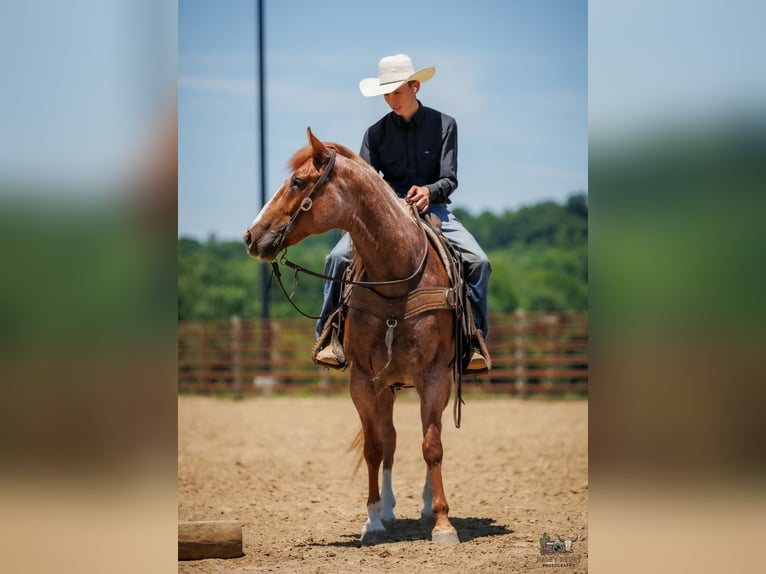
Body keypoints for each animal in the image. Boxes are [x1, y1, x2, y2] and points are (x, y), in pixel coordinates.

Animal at [243, 128, 460, 545]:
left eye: (298, 182)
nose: (251, 235)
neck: (398, 273)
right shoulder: (363, 379)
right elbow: (374, 448)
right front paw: (372, 519)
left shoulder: (433, 376)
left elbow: (433, 445)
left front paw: (443, 523)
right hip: (388, 386)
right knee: (390, 439)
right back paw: (389, 509)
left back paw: (427, 504)